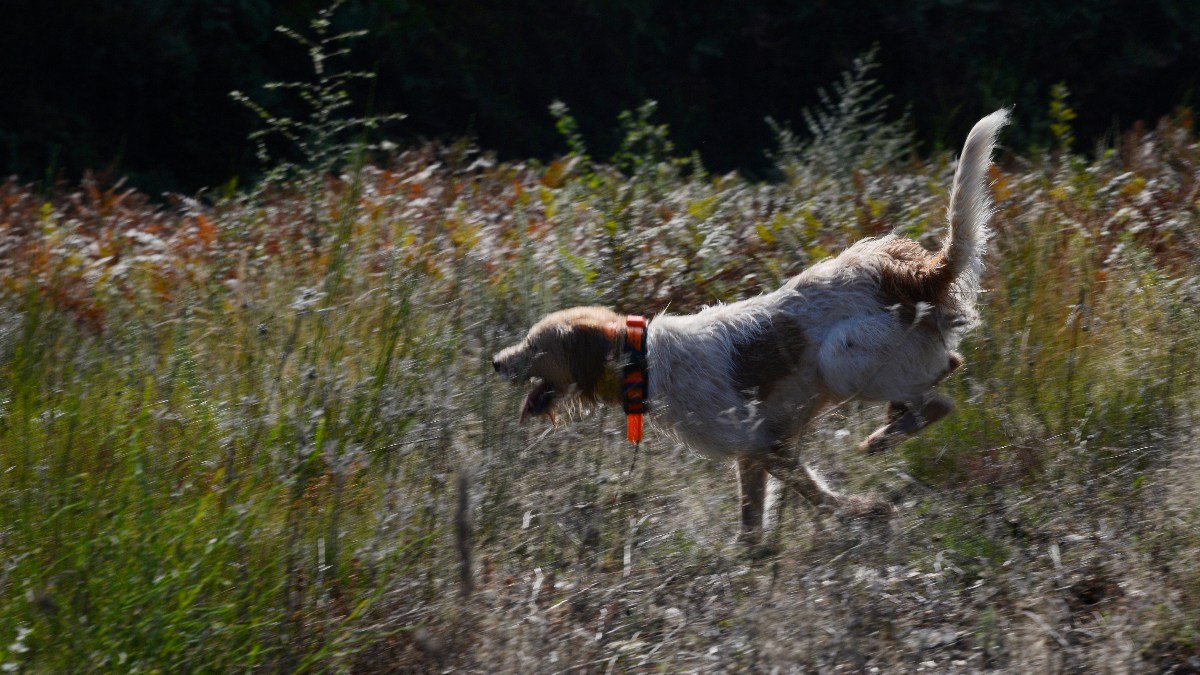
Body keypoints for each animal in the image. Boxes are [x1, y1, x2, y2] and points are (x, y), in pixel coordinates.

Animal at [492, 110, 1008, 540]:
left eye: (535, 347)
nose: (496, 362)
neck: (645, 361)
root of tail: (914, 273)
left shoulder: (764, 445)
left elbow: (809, 495)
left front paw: (862, 511)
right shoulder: (756, 454)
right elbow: (754, 524)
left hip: (842, 360)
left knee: (940, 394)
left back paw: (885, 436)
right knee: (943, 370)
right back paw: (894, 420)